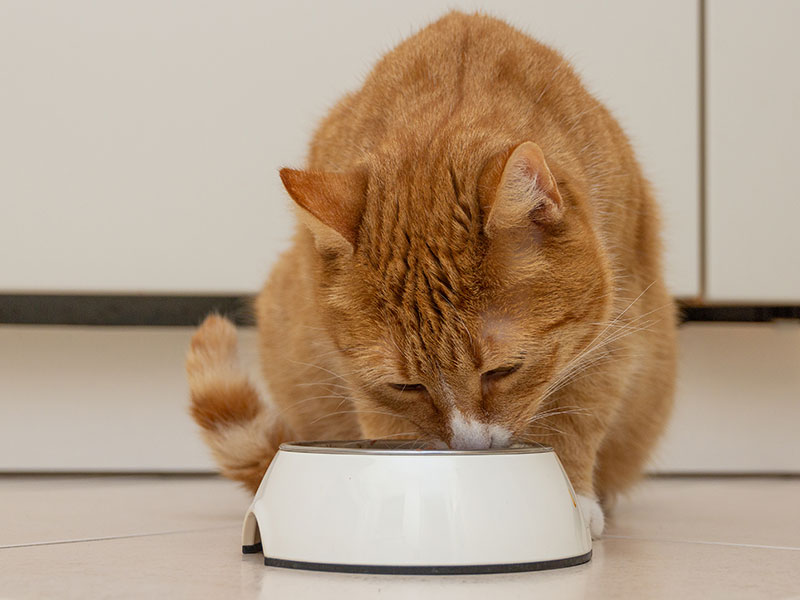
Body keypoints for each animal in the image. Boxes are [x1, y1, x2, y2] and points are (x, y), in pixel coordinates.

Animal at [186, 10, 676, 536]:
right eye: (407, 387)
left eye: (504, 371)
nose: (470, 448)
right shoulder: (362, 383)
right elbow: (386, 427)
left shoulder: (617, 332)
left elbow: (577, 418)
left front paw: (574, 499)